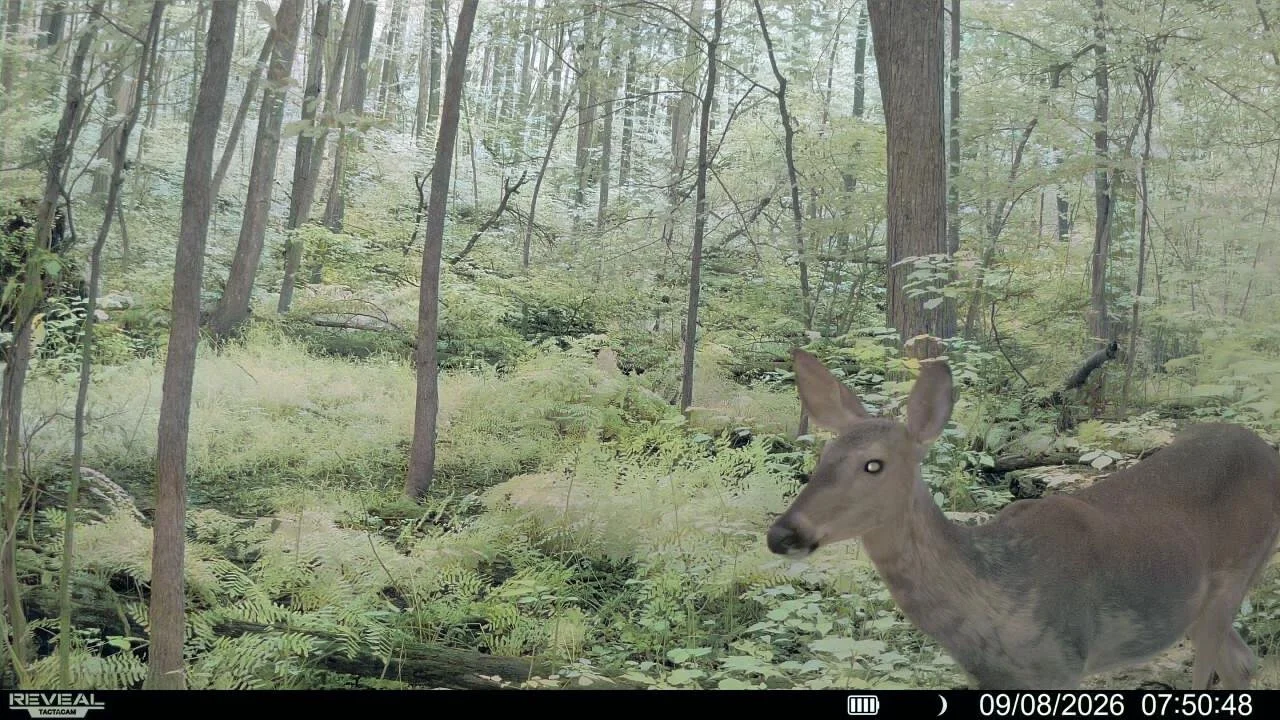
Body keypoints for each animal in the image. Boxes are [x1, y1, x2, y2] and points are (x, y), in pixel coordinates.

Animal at [766, 349, 1280, 691]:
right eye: (823, 456)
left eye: (874, 464)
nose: (782, 533)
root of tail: (1265, 450)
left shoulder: (1065, 660)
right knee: (1243, 661)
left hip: (1239, 569)